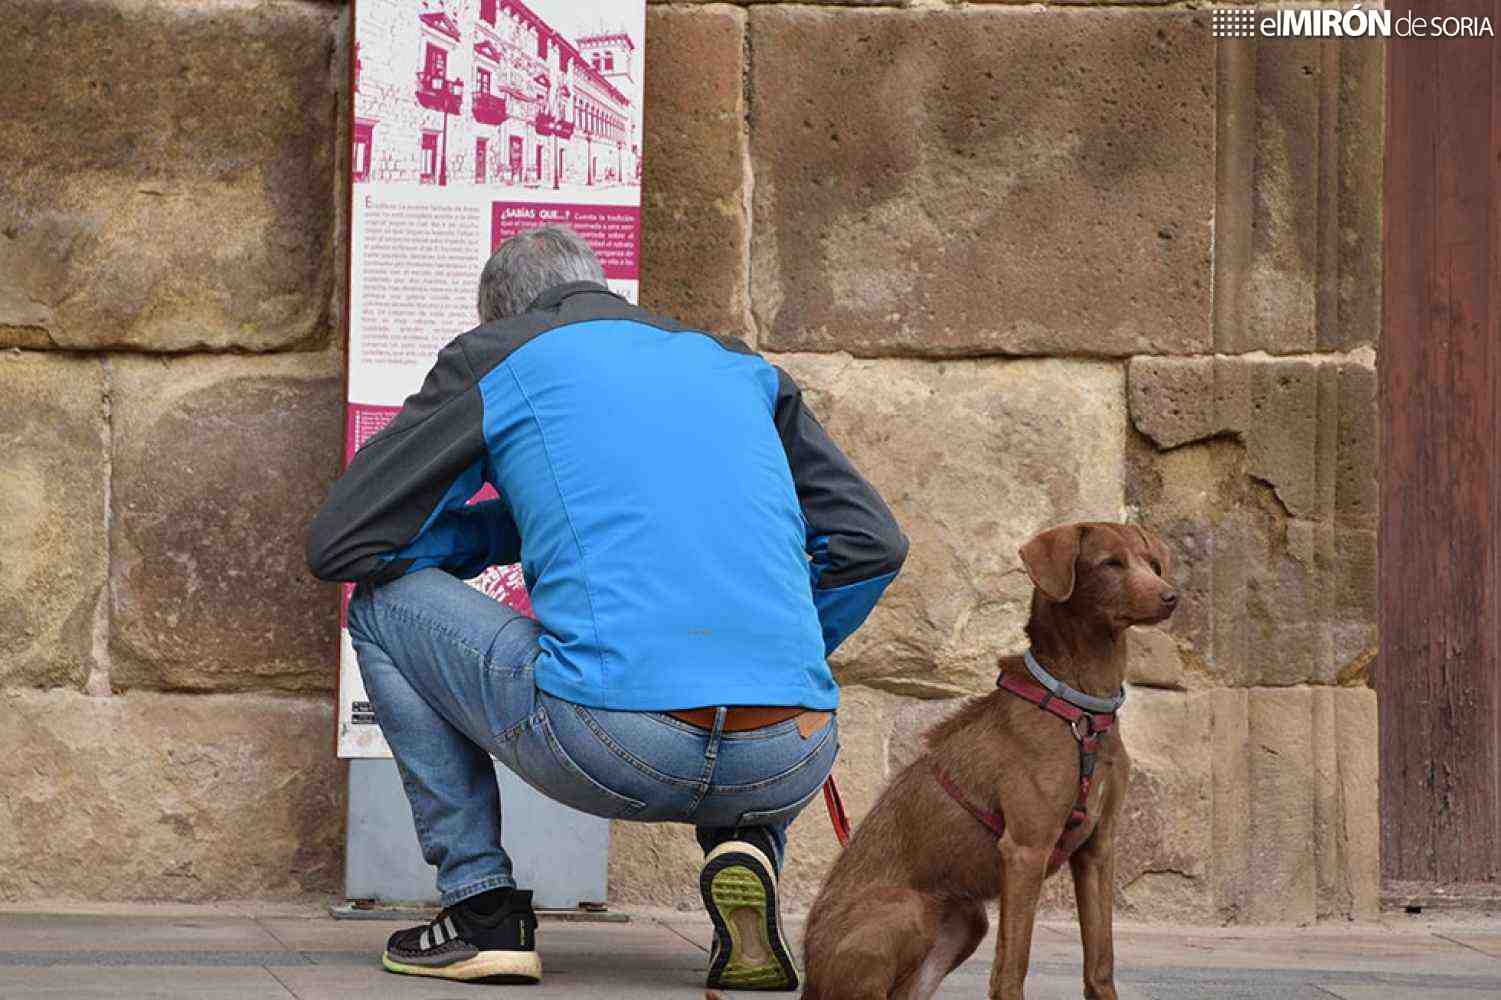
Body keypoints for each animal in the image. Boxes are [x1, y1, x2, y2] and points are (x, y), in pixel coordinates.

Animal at [798, 522, 1170, 996]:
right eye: (1111, 563)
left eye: (1152, 563)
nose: (1171, 596)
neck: (1081, 709)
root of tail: (809, 972)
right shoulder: (1025, 850)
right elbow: (1012, 967)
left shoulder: (1098, 851)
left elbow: (1100, 962)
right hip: (908, 908)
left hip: (965, 922)